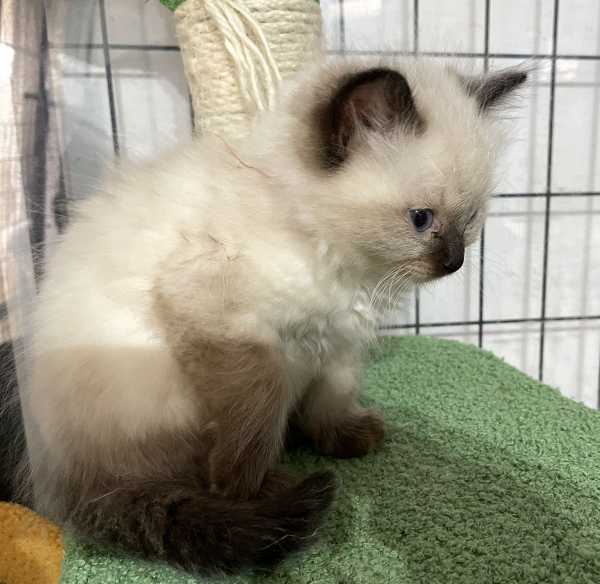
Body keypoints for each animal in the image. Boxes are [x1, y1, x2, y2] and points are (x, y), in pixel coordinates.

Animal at [24, 58, 524, 572]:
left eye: (471, 220)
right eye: (421, 220)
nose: (454, 262)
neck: (337, 260)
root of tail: (67, 485)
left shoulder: (339, 343)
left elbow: (333, 396)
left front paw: (344, 438)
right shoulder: (223, 323)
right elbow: (259, 407)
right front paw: (242, 483)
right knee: (171, 475)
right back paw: (265, 488)